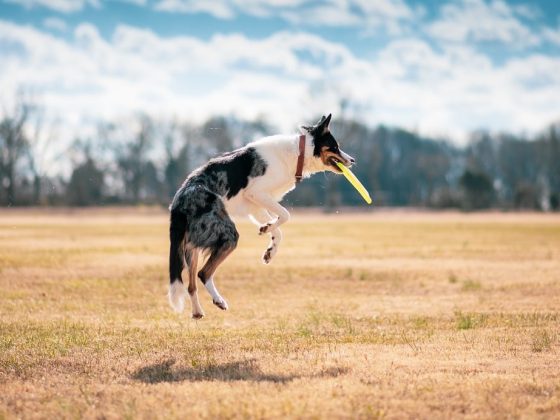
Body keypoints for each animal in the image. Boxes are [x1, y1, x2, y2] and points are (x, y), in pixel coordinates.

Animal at [168, 113, 356, 316]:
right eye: (335, 146)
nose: (353, 160)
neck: (297, 154)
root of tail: (179, 201)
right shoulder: (257, 193)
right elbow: (286, 215)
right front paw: (268, 229)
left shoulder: (256, 205)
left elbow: (278, 229)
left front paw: (269, 248)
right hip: (227, 234)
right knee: (203, 273)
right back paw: (218, 300)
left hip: (192, 246)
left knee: (191, 284)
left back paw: (197, 312)